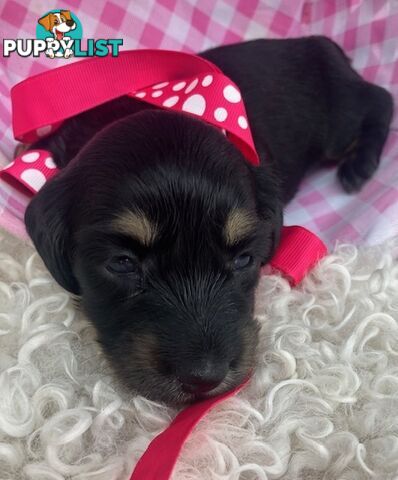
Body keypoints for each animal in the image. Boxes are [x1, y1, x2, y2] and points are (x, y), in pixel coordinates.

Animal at [24, 38, 392, 404]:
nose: (204, 378)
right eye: (122, 263)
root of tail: (320, 42)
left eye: (244, 259)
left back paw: (360, 166)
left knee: (380, 100)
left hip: (337, 124)